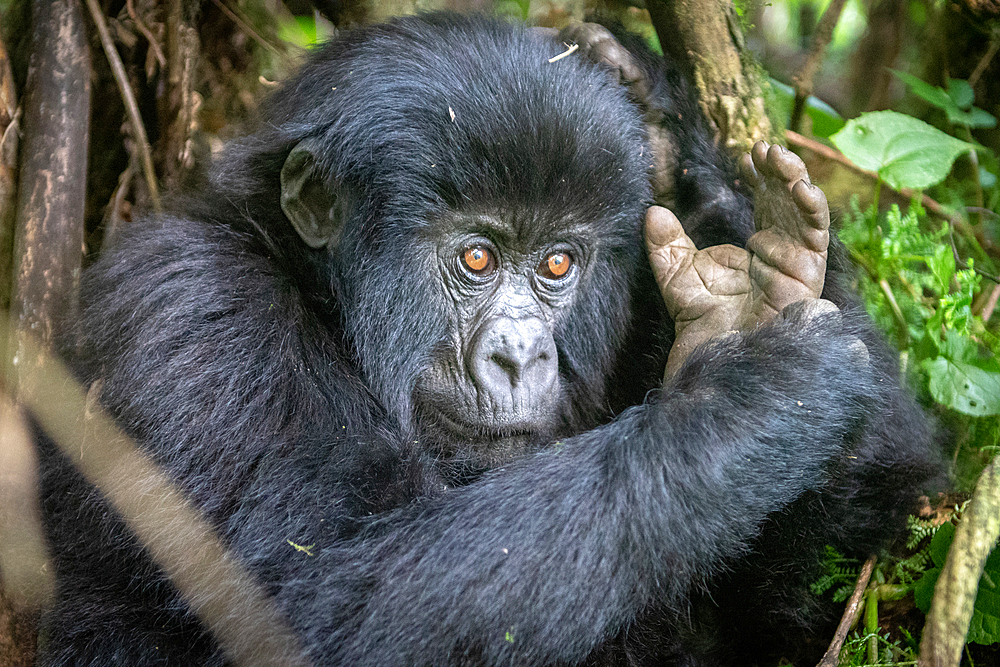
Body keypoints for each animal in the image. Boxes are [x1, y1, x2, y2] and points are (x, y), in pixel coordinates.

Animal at [35, 11, 940, 667]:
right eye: (476, 257)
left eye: (557, 261)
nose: (520, 354)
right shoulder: (193, 315)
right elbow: (322, 607)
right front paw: (760, 397)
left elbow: (820, 589)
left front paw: (684, 156)